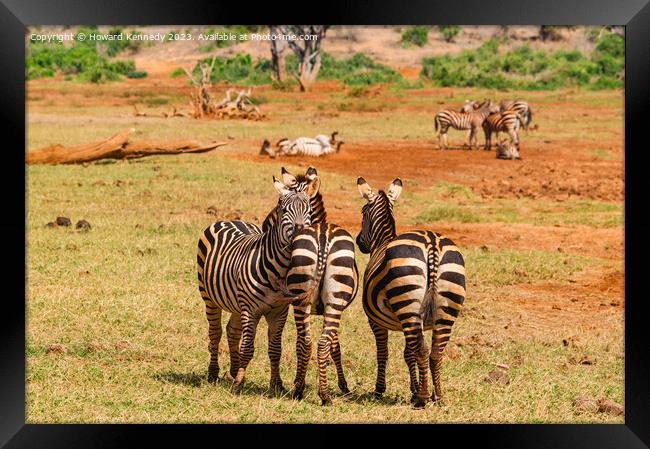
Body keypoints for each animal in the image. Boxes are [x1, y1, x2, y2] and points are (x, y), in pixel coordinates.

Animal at [196, 175, 318, 392]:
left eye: (310, 211)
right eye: (284, 210)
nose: (300, 233)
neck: (279, 269)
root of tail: (230, 219)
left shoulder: (279, 311)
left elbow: (275, 349)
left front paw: (276, 384)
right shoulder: (251, 310)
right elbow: (248, 347)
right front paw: (238, 384)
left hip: (236, 302)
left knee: (232, 331)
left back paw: (234, 369)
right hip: (209, 297)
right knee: (215, 332)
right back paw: (213, 373)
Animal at [260, 166, 356, 404]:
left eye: (278, 205)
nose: (264, 225)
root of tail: (322, 238)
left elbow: (306, 344)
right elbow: (335, 346)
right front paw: (343, 385)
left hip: (305, 300)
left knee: (308, 342)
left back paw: (307, 390)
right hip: (328, 302)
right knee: (318, 343)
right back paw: (319, 393)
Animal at [354, 177, 466, 408]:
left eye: (362, 212)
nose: (359, 242)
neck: (382, 242)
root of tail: (432, 243)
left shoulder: (375, 321)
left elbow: (384, 352)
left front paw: (380, 390)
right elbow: (409, 353)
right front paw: (414, 389)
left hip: (408, 307)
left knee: (423, 351)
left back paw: (423, 399)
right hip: (444, 308)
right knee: (435, 353)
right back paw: (437, 396)